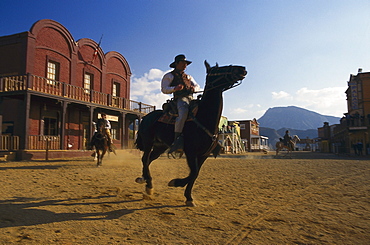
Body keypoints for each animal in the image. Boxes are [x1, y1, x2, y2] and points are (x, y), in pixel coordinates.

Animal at [134, 60, 247, 206]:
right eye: (220, 69)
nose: (242, 69)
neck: (203, 118)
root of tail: (146, 117)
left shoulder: (204, 154)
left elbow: (196, 173)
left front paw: (188, 197)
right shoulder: (191, 152)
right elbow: (193, 172)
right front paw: (175, 183)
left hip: (160, 147)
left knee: (149, 160)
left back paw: (146, 182)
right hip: (148, 142)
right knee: (145, 158)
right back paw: (148, 184)